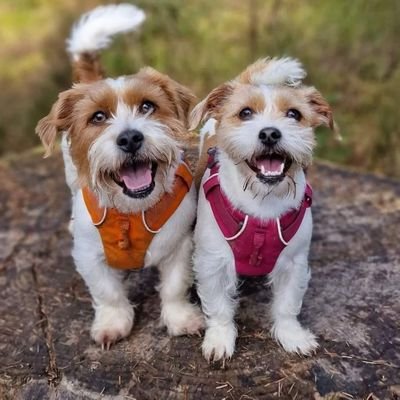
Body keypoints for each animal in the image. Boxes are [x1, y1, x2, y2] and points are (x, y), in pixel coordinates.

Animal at [34, 3, 205, 346]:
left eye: (148, 107)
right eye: (98, 117)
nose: (129, 138)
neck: (131, 211)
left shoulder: (180, 245)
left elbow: (174, 287)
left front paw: (180, 318)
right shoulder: (90, 257)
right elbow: (108, 293)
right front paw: (114, 322)